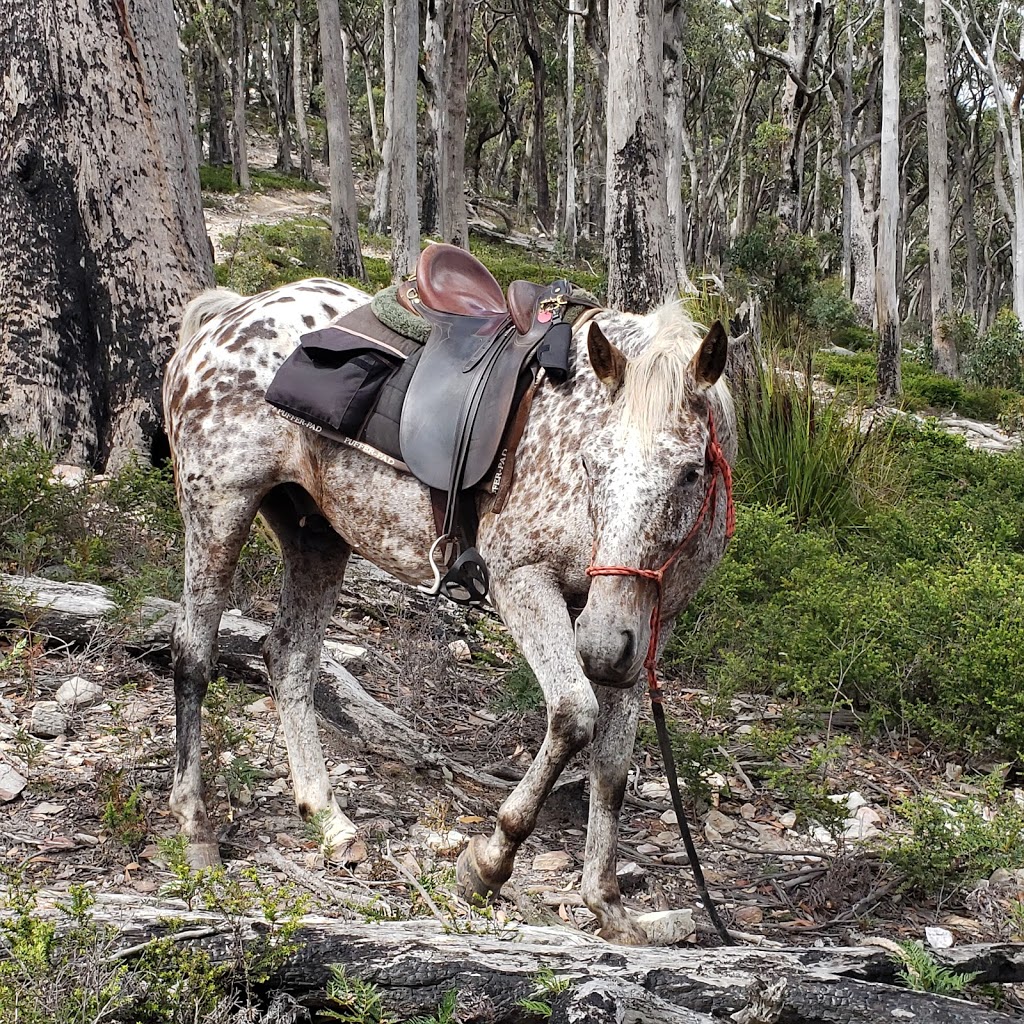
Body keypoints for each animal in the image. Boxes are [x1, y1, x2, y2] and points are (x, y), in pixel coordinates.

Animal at [161, 276, 737, 946]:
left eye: (690, 472)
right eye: (591, 465)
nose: (596, 644)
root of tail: (229, 316)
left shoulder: (643, 632)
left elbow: (613, 766)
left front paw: (609, 906)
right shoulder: (522, 581)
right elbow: (574, 716)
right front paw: (488, 864)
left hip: (316, 537)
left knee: (290, 661)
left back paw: (328, 819)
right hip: (218, 510)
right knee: (194, 654)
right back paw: (195, 827)